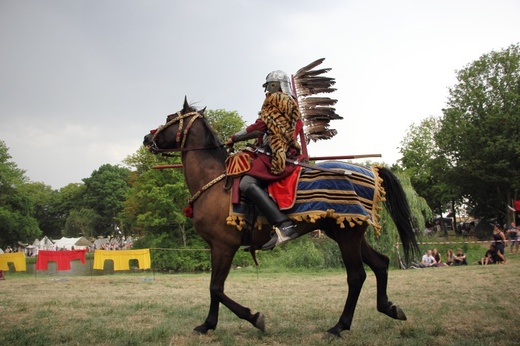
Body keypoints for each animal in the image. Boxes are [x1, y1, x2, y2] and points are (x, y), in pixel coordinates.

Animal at [142, 97, 418, 338]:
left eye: (169, 118)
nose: (147, 138)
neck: (214, 181)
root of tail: (370, 172)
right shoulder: (215, 247)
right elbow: (213, 288)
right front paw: (208, 324)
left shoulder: (224, 246)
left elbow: (216, 288)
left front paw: (254, 318)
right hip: (345, 231)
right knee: (380, 263)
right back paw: (389, 308)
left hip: (347, 235)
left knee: (357, 276)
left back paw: (338, 327)